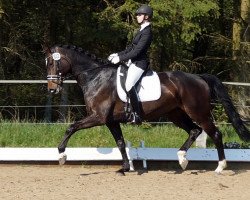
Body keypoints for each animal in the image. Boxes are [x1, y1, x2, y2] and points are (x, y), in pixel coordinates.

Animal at [45, 44, 250, 174]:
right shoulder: (110, 121)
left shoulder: (98, 117)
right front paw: (125, 167)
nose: (52, 89)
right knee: (194, 130)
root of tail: (199, 77)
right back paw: (182, 158)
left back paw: (220, 167)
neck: (96, 77)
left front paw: (61, 155)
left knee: (214, 133)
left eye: (53, 62)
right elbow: (120, 142)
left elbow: (71, 127)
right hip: (176, 114)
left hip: (198, 112)